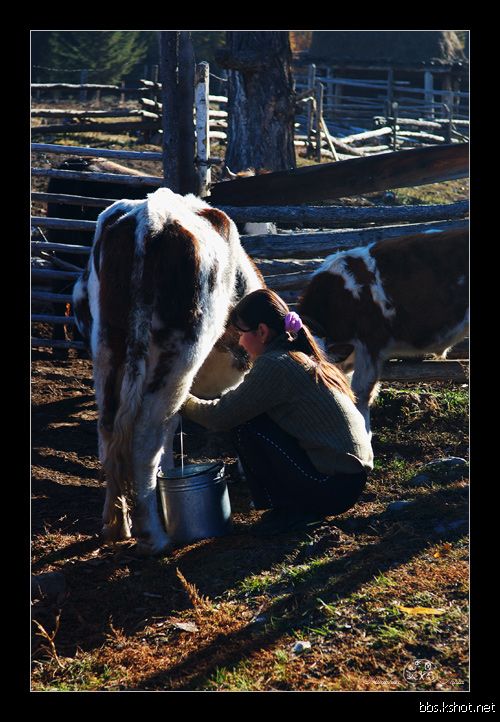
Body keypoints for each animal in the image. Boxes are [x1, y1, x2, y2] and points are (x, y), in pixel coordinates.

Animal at [72, 187, 264, 555]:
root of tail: (151, 218)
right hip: (180, 351)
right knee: (145, 437)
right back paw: (154, 536)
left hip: (107, 347)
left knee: (109, 432)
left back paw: (116, 525)